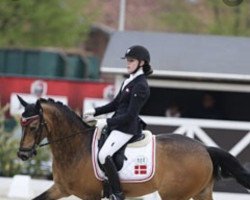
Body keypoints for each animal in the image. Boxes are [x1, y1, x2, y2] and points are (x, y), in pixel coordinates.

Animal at [16, 96, 249, 199]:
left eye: (34, 126)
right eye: (21, 124)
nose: (22, 155)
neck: (75, 148)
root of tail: (204, 149)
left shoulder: (91, 196)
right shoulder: (60, 189)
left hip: (175, 194)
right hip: (201, 192)